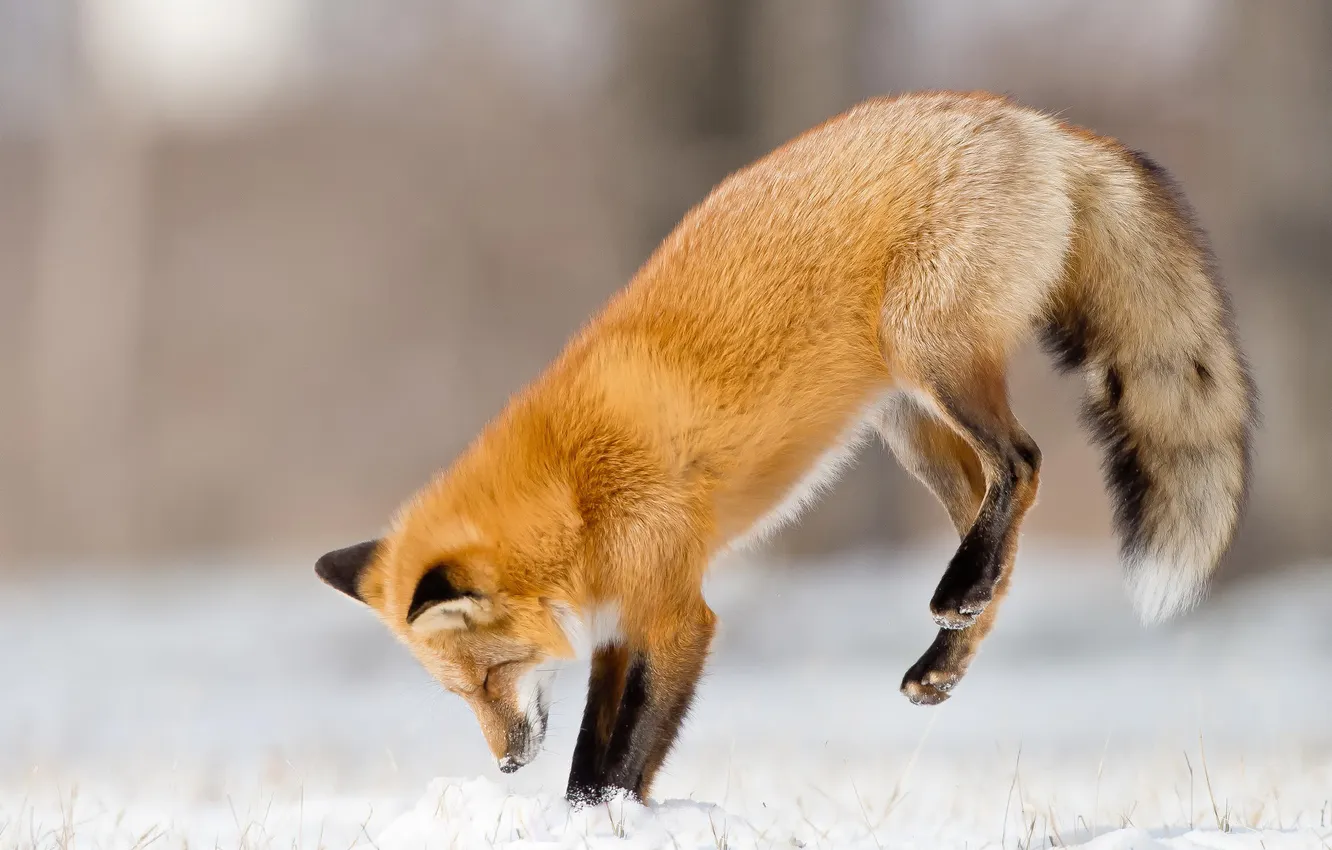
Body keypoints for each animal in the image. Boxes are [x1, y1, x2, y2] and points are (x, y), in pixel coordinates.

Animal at [315, 91, 1256, 805]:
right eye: (459, 693)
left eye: (486, 678)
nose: (506, 764)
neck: (575, 490)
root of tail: (1029, 118)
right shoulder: (622, 624)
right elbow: (591, 753)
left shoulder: (677, 615)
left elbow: (620, 762)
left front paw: (610, 816)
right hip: (909, 422)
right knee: (998, 511)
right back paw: (947, 652)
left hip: (929, 354)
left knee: (1022, 460)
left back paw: (958, 591)